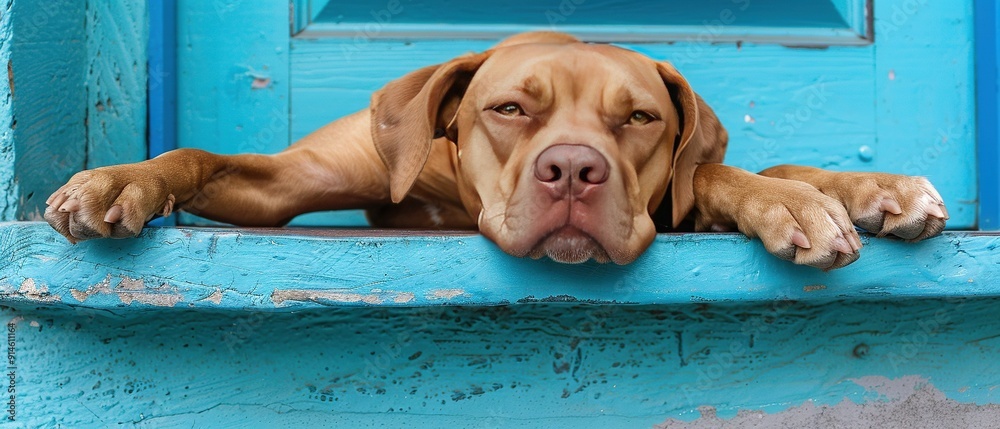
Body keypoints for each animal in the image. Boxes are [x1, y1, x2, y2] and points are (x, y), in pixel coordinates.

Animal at [43, 31, 948, 270]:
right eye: (509, 108)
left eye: (640, 119)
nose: (573, 169)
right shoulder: (280, 183)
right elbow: (194, 154)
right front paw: (115, 182)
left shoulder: (681, 195)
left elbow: (734, 170)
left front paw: (824, 196)